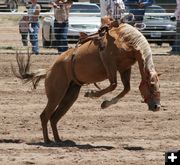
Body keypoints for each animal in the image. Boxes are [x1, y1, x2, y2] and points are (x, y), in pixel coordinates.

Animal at [13, 22, 161, 143]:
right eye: (151, 85)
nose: (157, 107)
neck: (125, 40)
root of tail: (49, 70)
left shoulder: (125, 68)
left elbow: (126, 88)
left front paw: (105, 103)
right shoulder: (109, 61)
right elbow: (114, 84)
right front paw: (92, 94)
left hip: (70, 95)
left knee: (54, 117)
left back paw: (58, 140)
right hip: (56, 94)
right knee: (45, 116)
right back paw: (47, 140)